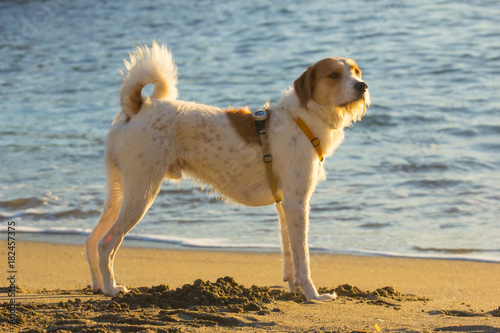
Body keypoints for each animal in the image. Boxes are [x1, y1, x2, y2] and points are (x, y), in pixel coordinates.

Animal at [85, 41, 368, 300]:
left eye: (356, 71)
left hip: (120, 192)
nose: (363, 86)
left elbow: (290, 253)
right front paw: (313, 295)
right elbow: (303, 257)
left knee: (92, 240)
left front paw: (295, 288)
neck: (302, 119)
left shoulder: (285, 205)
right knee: (107, 243)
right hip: (142, 192)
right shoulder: (297, 203)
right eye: (334, 75)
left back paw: (98, 284)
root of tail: (136, 108)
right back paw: (111, 288)